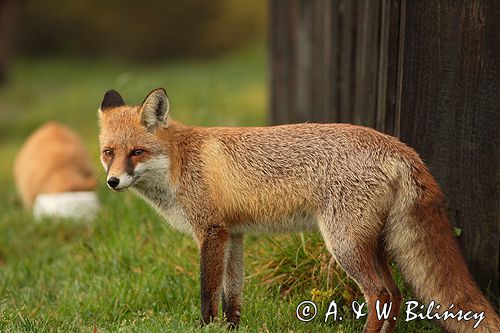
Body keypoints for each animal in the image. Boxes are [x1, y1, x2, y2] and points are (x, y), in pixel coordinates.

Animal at [98, 89, 500, 332]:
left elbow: (207, 293)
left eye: (137, 152)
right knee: (395, 295)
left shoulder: (210, 231)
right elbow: (232, 294)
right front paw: (232, 327)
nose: (112, 182)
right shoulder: (234, 234)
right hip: (373, 244)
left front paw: (207, 327)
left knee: (380, 295)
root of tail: (400, 147)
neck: (181, 161)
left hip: (344, 245)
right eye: (108, 152)